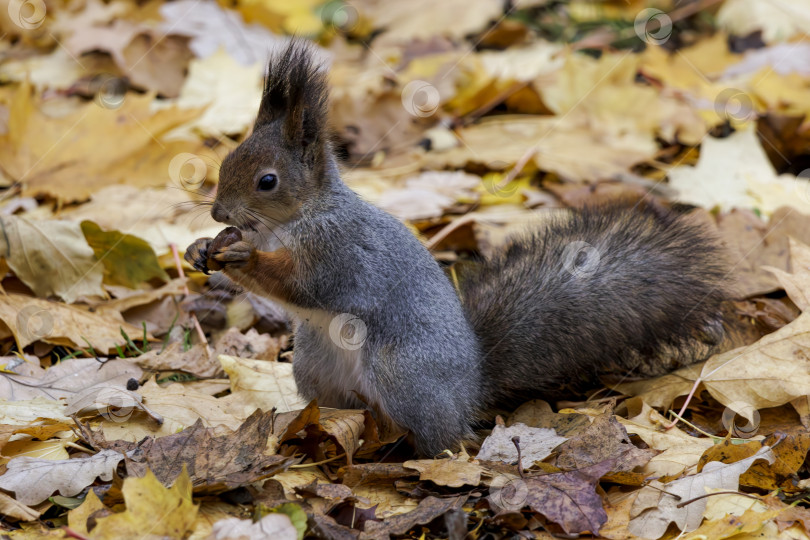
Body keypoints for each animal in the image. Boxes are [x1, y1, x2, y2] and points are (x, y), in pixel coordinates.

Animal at [186, 41, 728, 456]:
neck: (293, 221)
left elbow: (301, 284)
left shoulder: (340, 251)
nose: (218, 214)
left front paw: (243, 257)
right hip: (315, 365)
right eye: (227, 161)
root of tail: (470, 390)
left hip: (402, 372)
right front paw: (201, 248)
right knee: (344, 410)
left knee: (442, 437)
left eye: (267, 181)